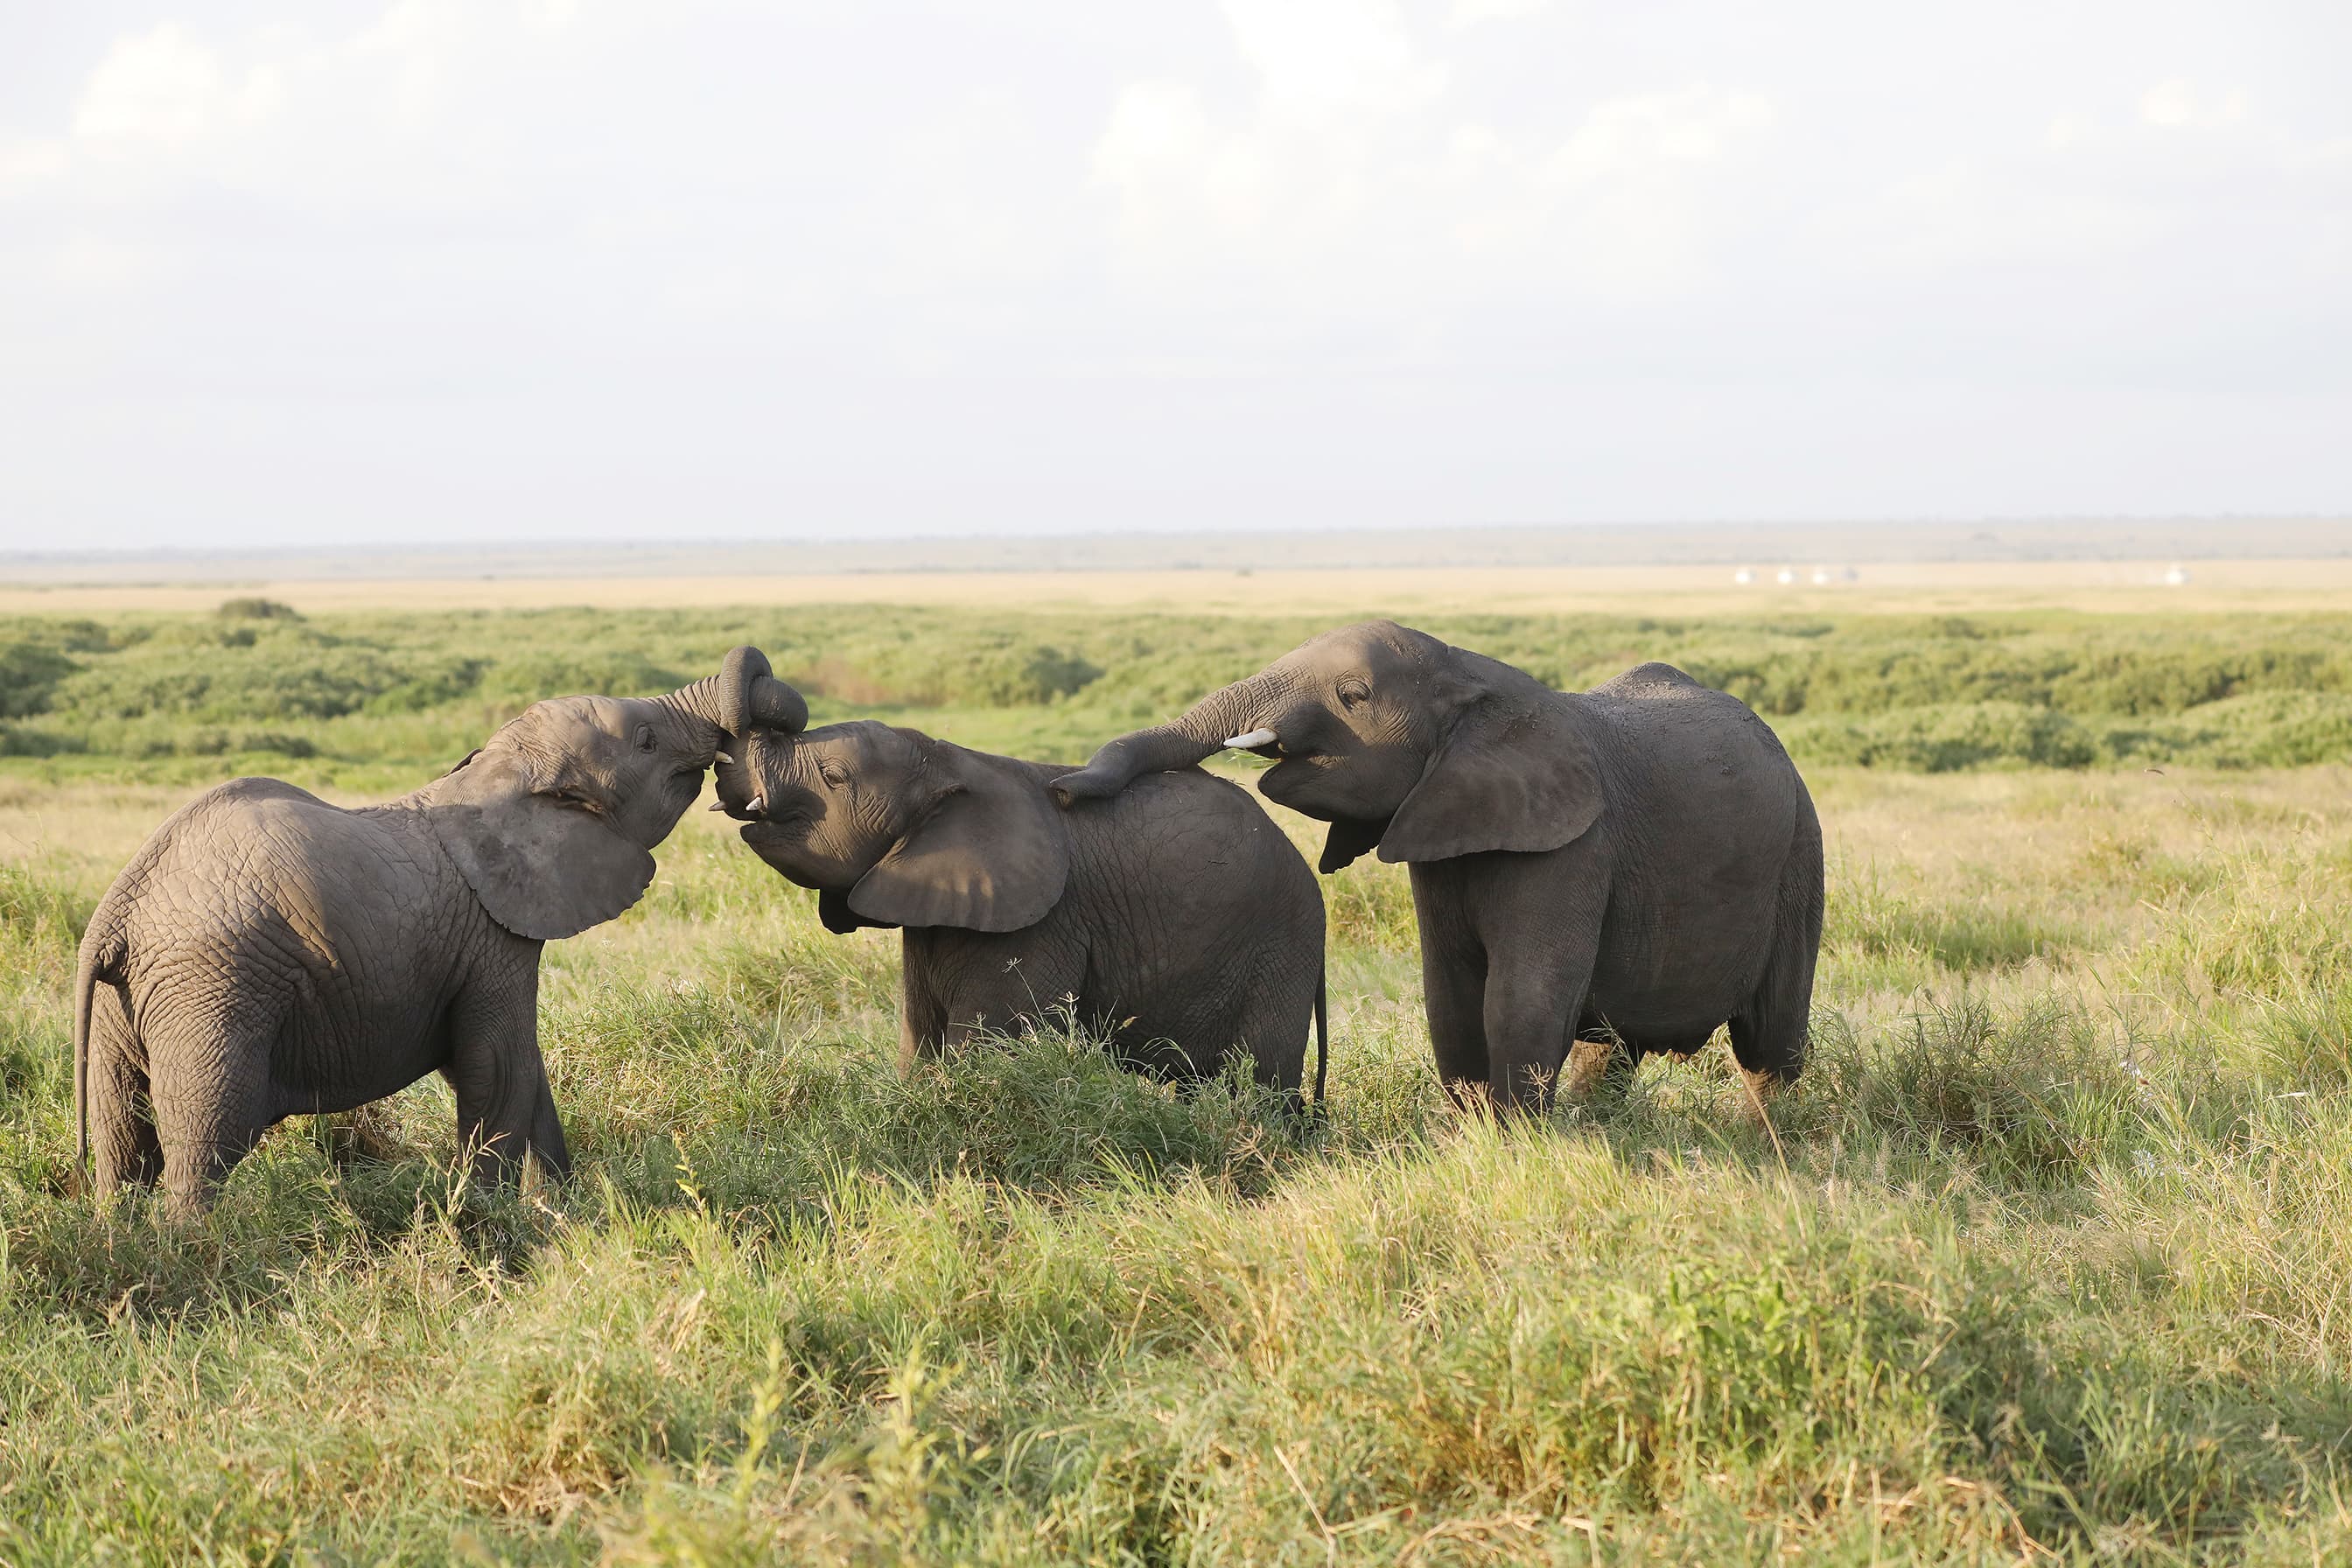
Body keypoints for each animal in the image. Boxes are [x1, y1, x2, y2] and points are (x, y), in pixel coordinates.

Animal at [71, 647, 808, 1218]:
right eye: (647, 741)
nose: (742, 772)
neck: (494, 777)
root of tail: (115, 915)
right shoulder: (491, 938)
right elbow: (497, 1066)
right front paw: (495, 1222)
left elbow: (520, 1071)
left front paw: (563, 1215)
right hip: (214, 989)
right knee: (206, 1141)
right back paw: (198, 1251)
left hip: (127, 1006)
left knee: (122, 1145)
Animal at [713, 718, 1328, 1106]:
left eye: (834, 778)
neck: (951, 763)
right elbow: (919, 1047)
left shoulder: (1042, 923)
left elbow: (984, 1051)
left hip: (1281, 946)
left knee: (1262, 1078)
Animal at [1051, 620, 1823, 1116]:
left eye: (1354, 696)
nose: (1062, 790)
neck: (1470, 674)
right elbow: (1449, 997)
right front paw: (1476, 1134)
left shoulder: (1575, 845)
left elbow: (1522, 996)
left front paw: (1515, 1145)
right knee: (1611, 1051)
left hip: (1800, 851)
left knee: (1771, 1043)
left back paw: (1771, 1142)